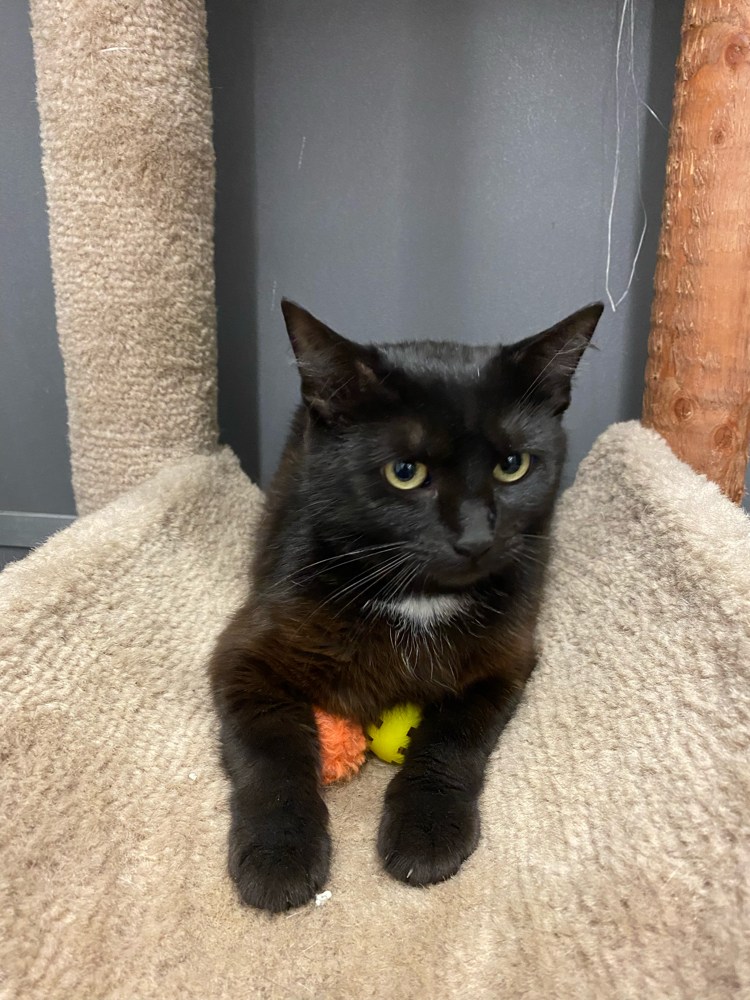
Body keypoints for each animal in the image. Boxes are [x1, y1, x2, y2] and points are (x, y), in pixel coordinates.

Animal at [210, 297, 603, 912]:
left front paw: (428, 832)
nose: (475, 538)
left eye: (512, 464)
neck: (419, 597)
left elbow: (452, 738)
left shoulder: (505, 658)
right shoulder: (245, 656)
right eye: (405, 472)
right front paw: (278, 856)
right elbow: (271, 752)